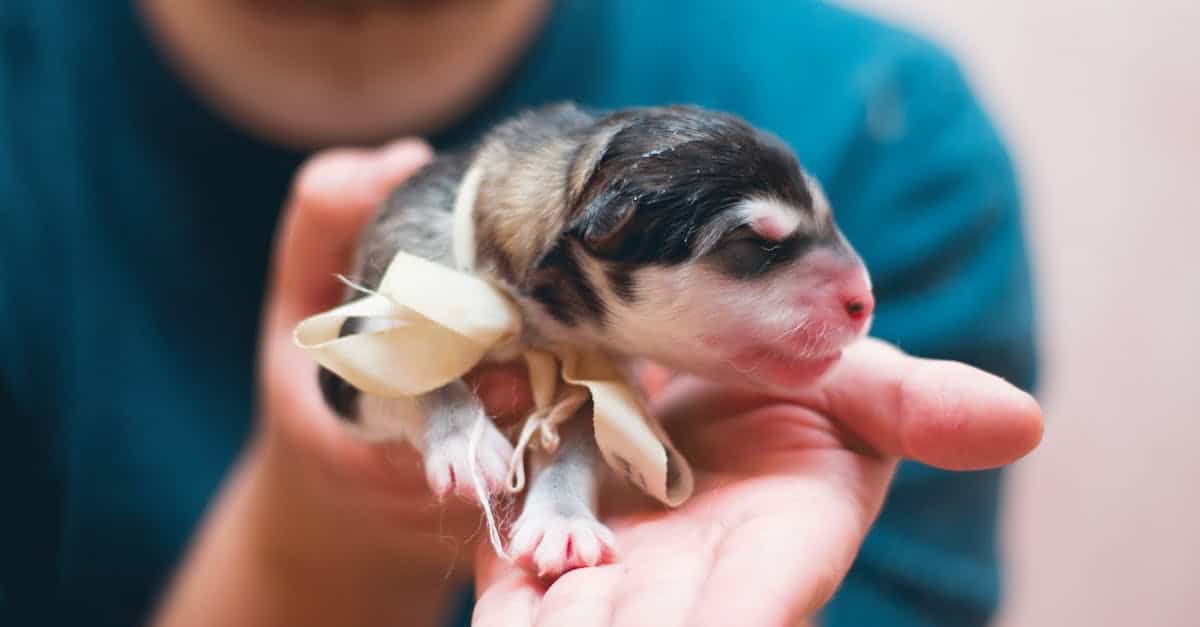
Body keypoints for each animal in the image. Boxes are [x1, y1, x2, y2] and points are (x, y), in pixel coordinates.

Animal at [316, 102, 873, 576]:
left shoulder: (593, 376)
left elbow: (576, 446)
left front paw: (562, 521)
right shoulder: (355, 345)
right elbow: (415, 375)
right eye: (752, 244)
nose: (865, 299)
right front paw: (464, 441)